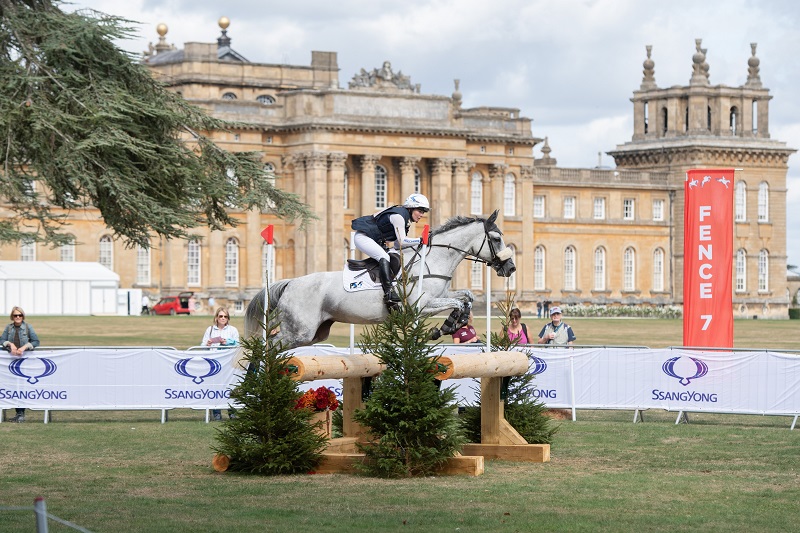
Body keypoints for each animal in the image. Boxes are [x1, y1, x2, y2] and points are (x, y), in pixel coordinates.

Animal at [244, 210, 516, 348]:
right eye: (496, 239)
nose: (511, 268)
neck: (435, 259)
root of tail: (290, 283)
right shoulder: (422, 305)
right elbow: (459, 303)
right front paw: (447, 326)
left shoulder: (440, 296)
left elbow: (466, 297)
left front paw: (449, 325)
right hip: (299, 331)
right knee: (269, 344)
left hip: (313, 333)